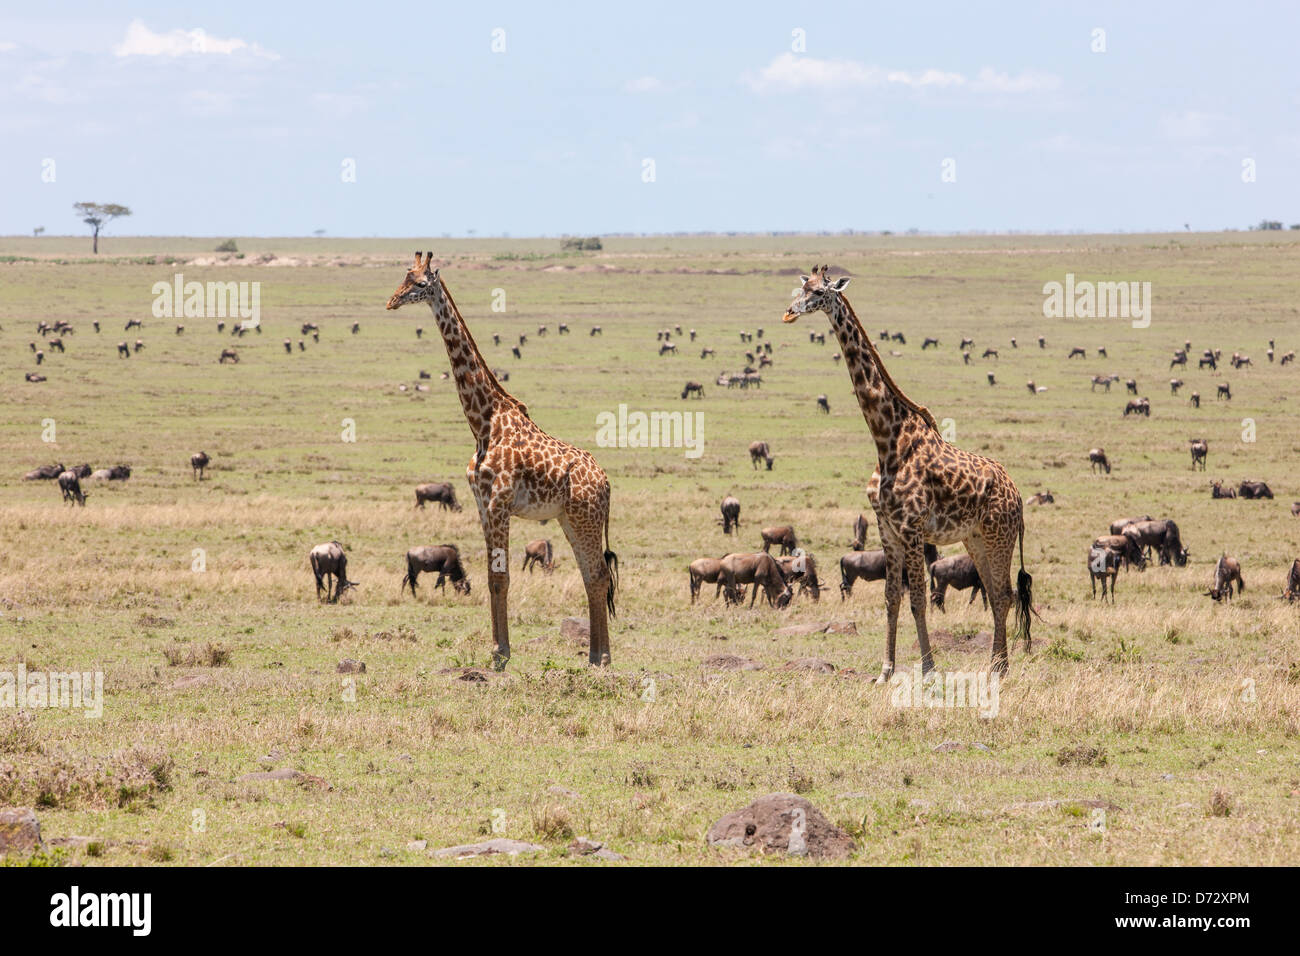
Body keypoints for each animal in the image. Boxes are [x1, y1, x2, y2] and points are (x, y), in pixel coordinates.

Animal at [384, 254, 618, 671]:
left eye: (420, 283)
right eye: (404, 277)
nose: (392, 301)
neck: (483, 421)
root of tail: (606, 483)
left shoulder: (499, 503)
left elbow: (500, 577)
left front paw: (500, 655)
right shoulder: (481, 504)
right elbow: (492, 576)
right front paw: (496, 650)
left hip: (585, 518)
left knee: (598, 575)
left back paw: (602, 658)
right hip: (569, 518)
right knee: (593, 576)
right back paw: (594, 657)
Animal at [774, 265, 1029, 676]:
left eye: (818, 292)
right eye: (801, 287)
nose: (789, 312)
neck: (886, 439)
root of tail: (1018, 494)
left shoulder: (911, 528)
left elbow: (918, 599)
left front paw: (928, 668)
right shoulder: (886, 527)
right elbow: (891, 596)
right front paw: (885, 670)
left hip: (998, 535)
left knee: (1005, 594)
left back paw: (998, 669)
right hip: (974, 537)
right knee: (994, 592)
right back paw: (996, 665)